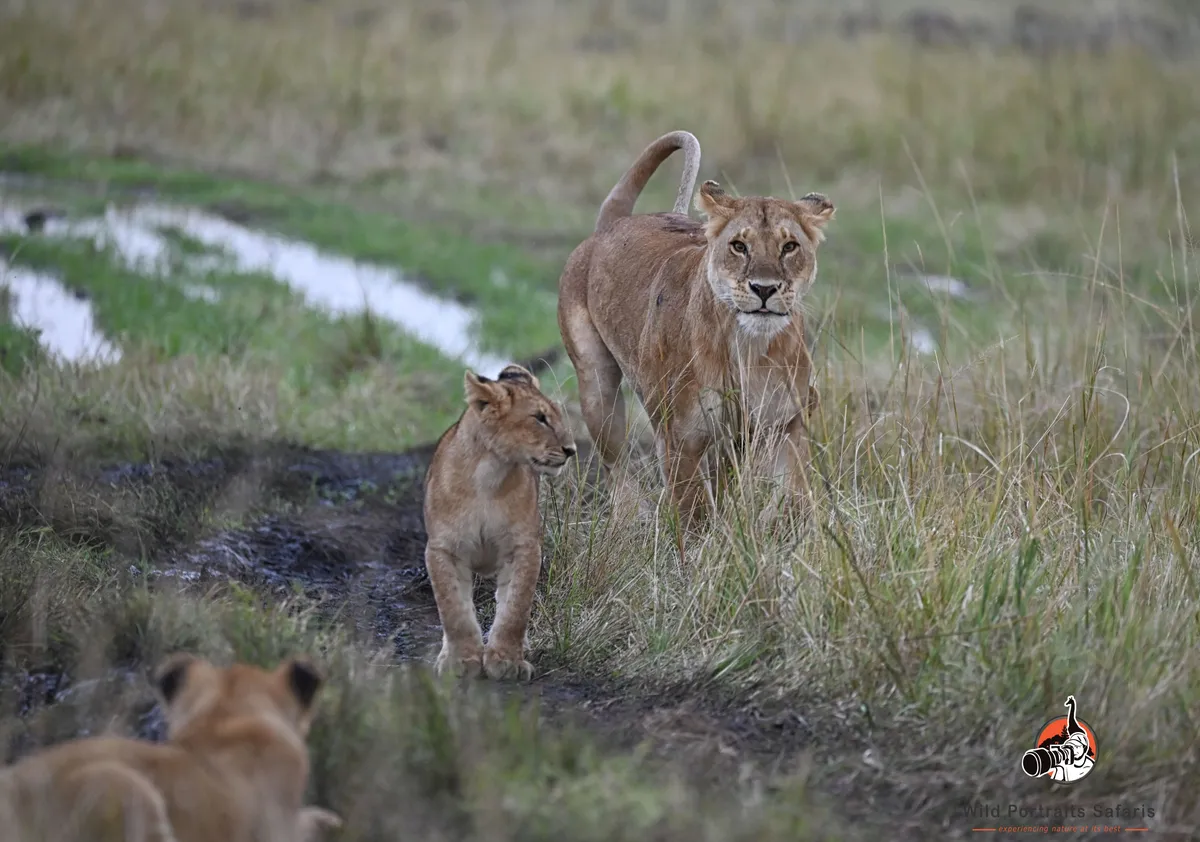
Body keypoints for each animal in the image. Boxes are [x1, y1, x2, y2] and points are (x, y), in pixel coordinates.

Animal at [423, 363, 577, 682]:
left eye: (555, 414)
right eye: (539, 418)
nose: (571, 450)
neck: (490, 474)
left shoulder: (524, 548)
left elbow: (515, 608)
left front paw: (506, 661)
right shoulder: (443, 549)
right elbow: (454, 610)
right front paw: (460, 660)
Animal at [557, 130, 833, 531]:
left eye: (790, 246)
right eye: (739, 246)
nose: (764, 289)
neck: (747, 346)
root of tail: (614, 224)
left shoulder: (787, 420)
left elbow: (795, 494)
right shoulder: (680, 436)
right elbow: (695, 515)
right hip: (597, 388)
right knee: (614, 462)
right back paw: (632, 517)